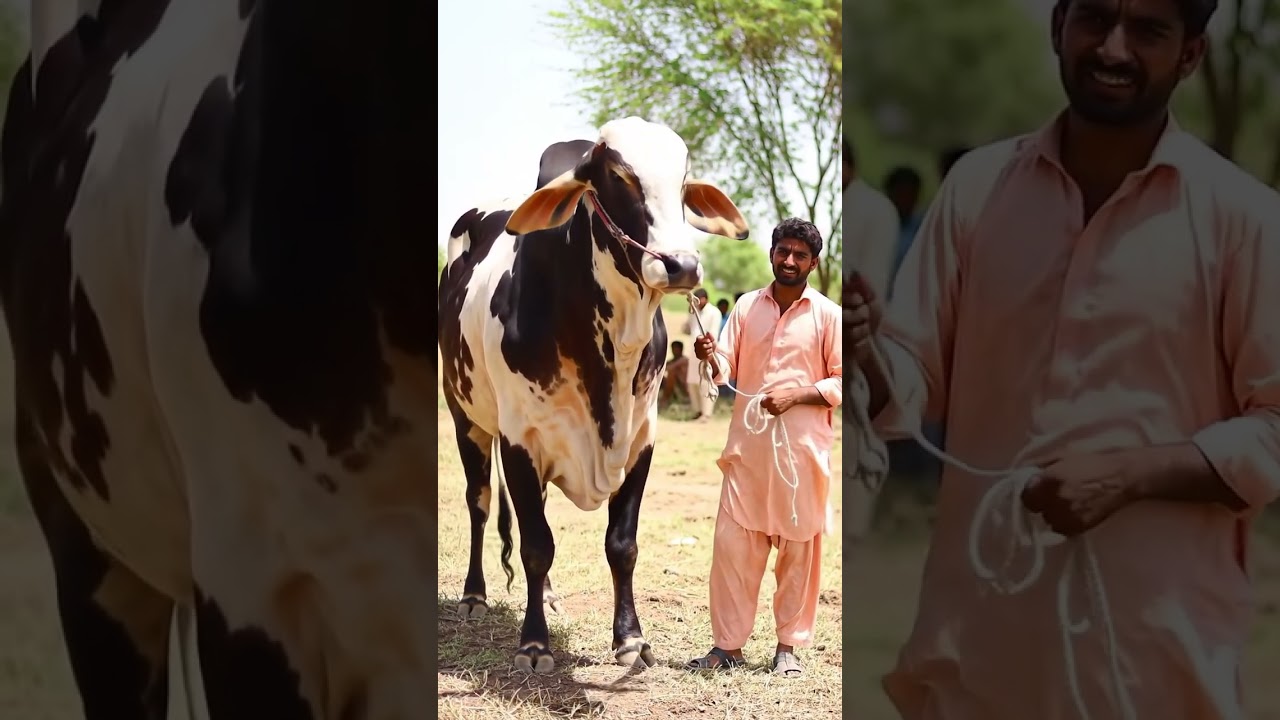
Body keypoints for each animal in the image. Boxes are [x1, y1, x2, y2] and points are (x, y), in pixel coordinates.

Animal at [437, 117, 751, 674]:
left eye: (683, 182)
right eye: (620, 176)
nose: (682, 264)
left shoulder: (641, 440)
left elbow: (620, 545)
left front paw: (630, 638)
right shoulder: (520, 441)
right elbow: (536, 545)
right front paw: (534, 644)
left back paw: (549, 595)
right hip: (465, 417)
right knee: (479, 502)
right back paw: (474, 595)